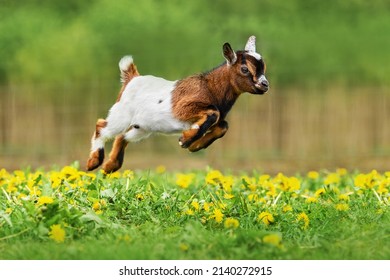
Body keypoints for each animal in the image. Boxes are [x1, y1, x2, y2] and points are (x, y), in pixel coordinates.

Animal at [86, 35, 268, 173]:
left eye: (264, 68)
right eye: (245, 69)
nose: (265, 85)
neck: (210, 87)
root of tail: (132, 78)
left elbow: (223, 125)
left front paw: (195, 145)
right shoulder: (183, 108)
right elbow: (214, 113)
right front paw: (186, 140)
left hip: (142, 127)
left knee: (122, 137)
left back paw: (110, 167)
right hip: (122, 115)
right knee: (101, 126)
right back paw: (93, 163)